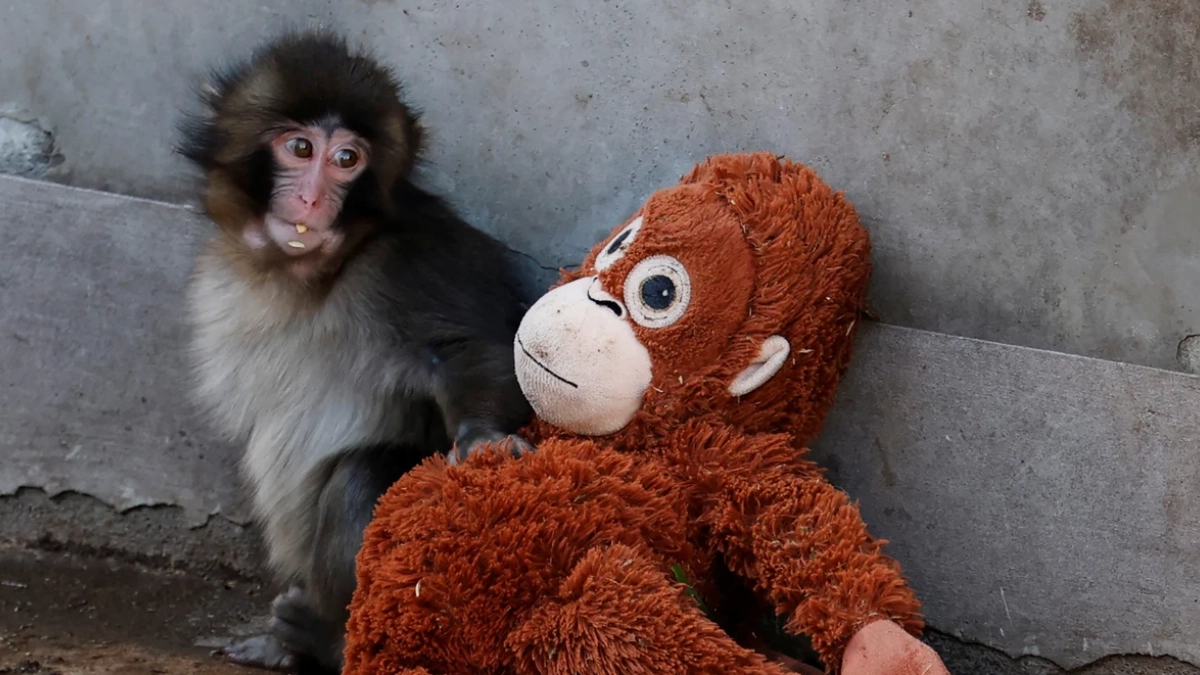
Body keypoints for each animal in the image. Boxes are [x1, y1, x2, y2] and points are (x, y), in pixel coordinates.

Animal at [176, 31, 534, 674]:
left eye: (348, 160)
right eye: (299, 148)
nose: (313, 198)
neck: (310, 275)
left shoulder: (412, 259)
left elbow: (473, 349)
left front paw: (484, 438)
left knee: (361, 478)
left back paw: (329, 640)